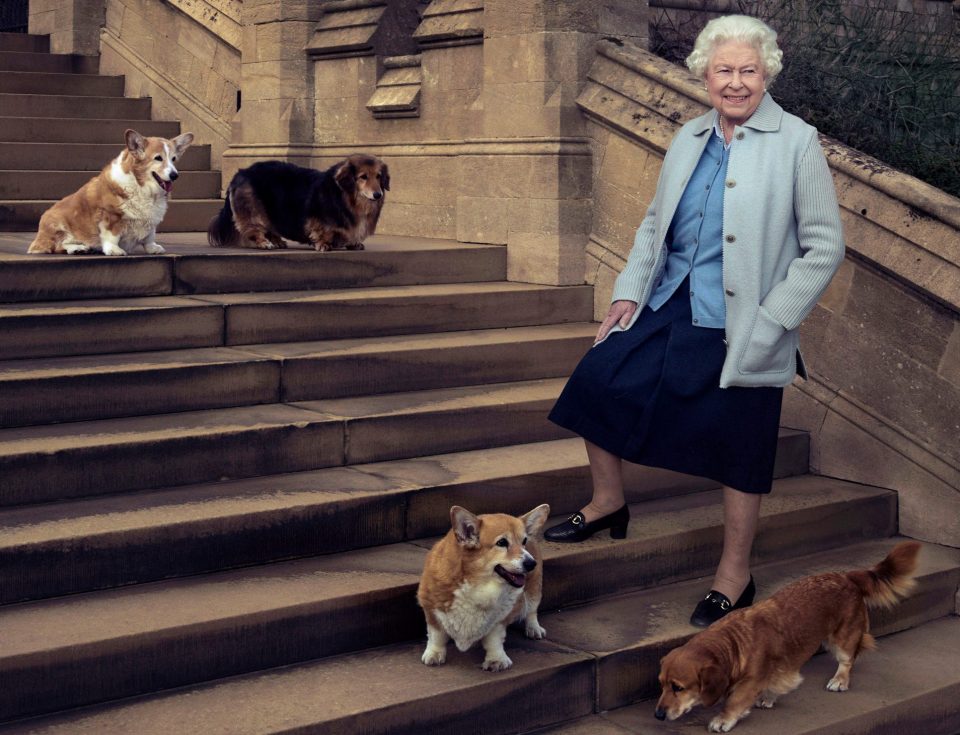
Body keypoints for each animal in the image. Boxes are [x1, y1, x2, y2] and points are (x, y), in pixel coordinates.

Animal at [28, 131, 194, 258]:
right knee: (58, 245)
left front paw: (153, 247)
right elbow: (111, 235)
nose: (174, 175)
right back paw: (77, 248)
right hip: (57, 222)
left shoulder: (151, 219)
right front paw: (114, 250)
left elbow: (149, 236)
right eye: (158, 158)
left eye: (173, 159)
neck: (142, 186)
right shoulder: (110, 215)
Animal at [207, 154, 390, 252]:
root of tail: (240, 173)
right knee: (254, 229)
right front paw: (324, 244)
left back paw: (278, 241)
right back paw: (264, 243)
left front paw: (353, 243)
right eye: (363, 177)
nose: (378, 195)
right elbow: (323, 232)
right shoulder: (318, 219)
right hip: (253, 212)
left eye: (379, 176)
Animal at [418, 506, 548, 672]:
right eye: (502, 542)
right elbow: (436, 634)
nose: (532, 563)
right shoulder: (431, 608)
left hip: (533, 590)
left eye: (523, 541)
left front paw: (496, 659)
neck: (479, 585)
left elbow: (494, 639)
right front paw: (434, 654)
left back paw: (534, 628)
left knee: (531, 611)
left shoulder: (500, 620)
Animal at [656, 540, 920, 732]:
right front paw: (768, 697)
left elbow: (735, 700)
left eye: (678, 687)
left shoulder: (751, 680)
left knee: (848, 659)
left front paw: (723, 719)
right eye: (661, 684)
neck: (734, 642)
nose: (658, 715)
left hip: (841, 639)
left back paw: (840, 680)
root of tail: (846, 576)